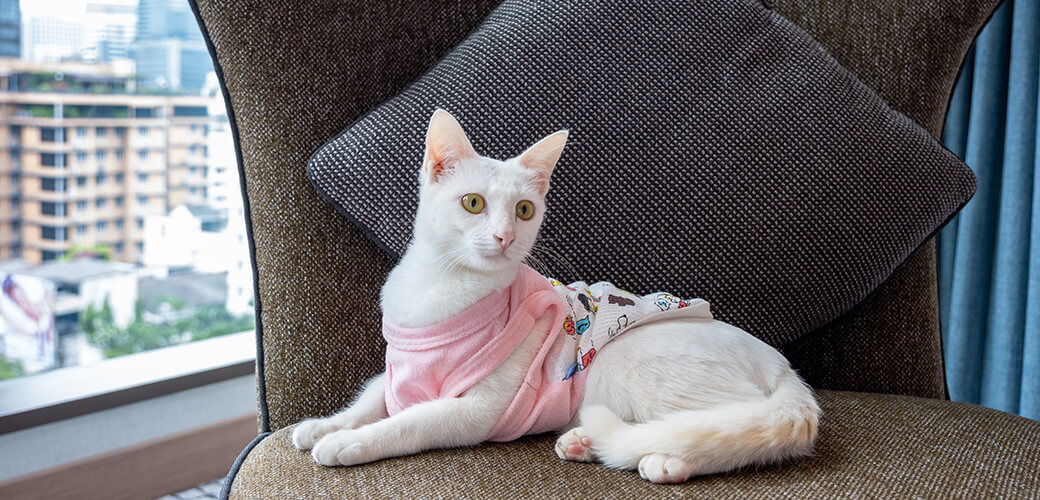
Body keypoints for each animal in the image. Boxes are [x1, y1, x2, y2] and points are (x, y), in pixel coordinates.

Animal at [293, 109, 819, 482]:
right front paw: (324, 425)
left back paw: (666, 460)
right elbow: (370, 401)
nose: (505, 236)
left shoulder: (476, 411)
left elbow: (409, 422)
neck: (440, 288)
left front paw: (348, 443)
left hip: (628, 360)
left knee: (730, 425)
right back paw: (583, 442)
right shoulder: (397, 375)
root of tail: (782, 367)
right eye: (473, 203)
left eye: (524, 210)